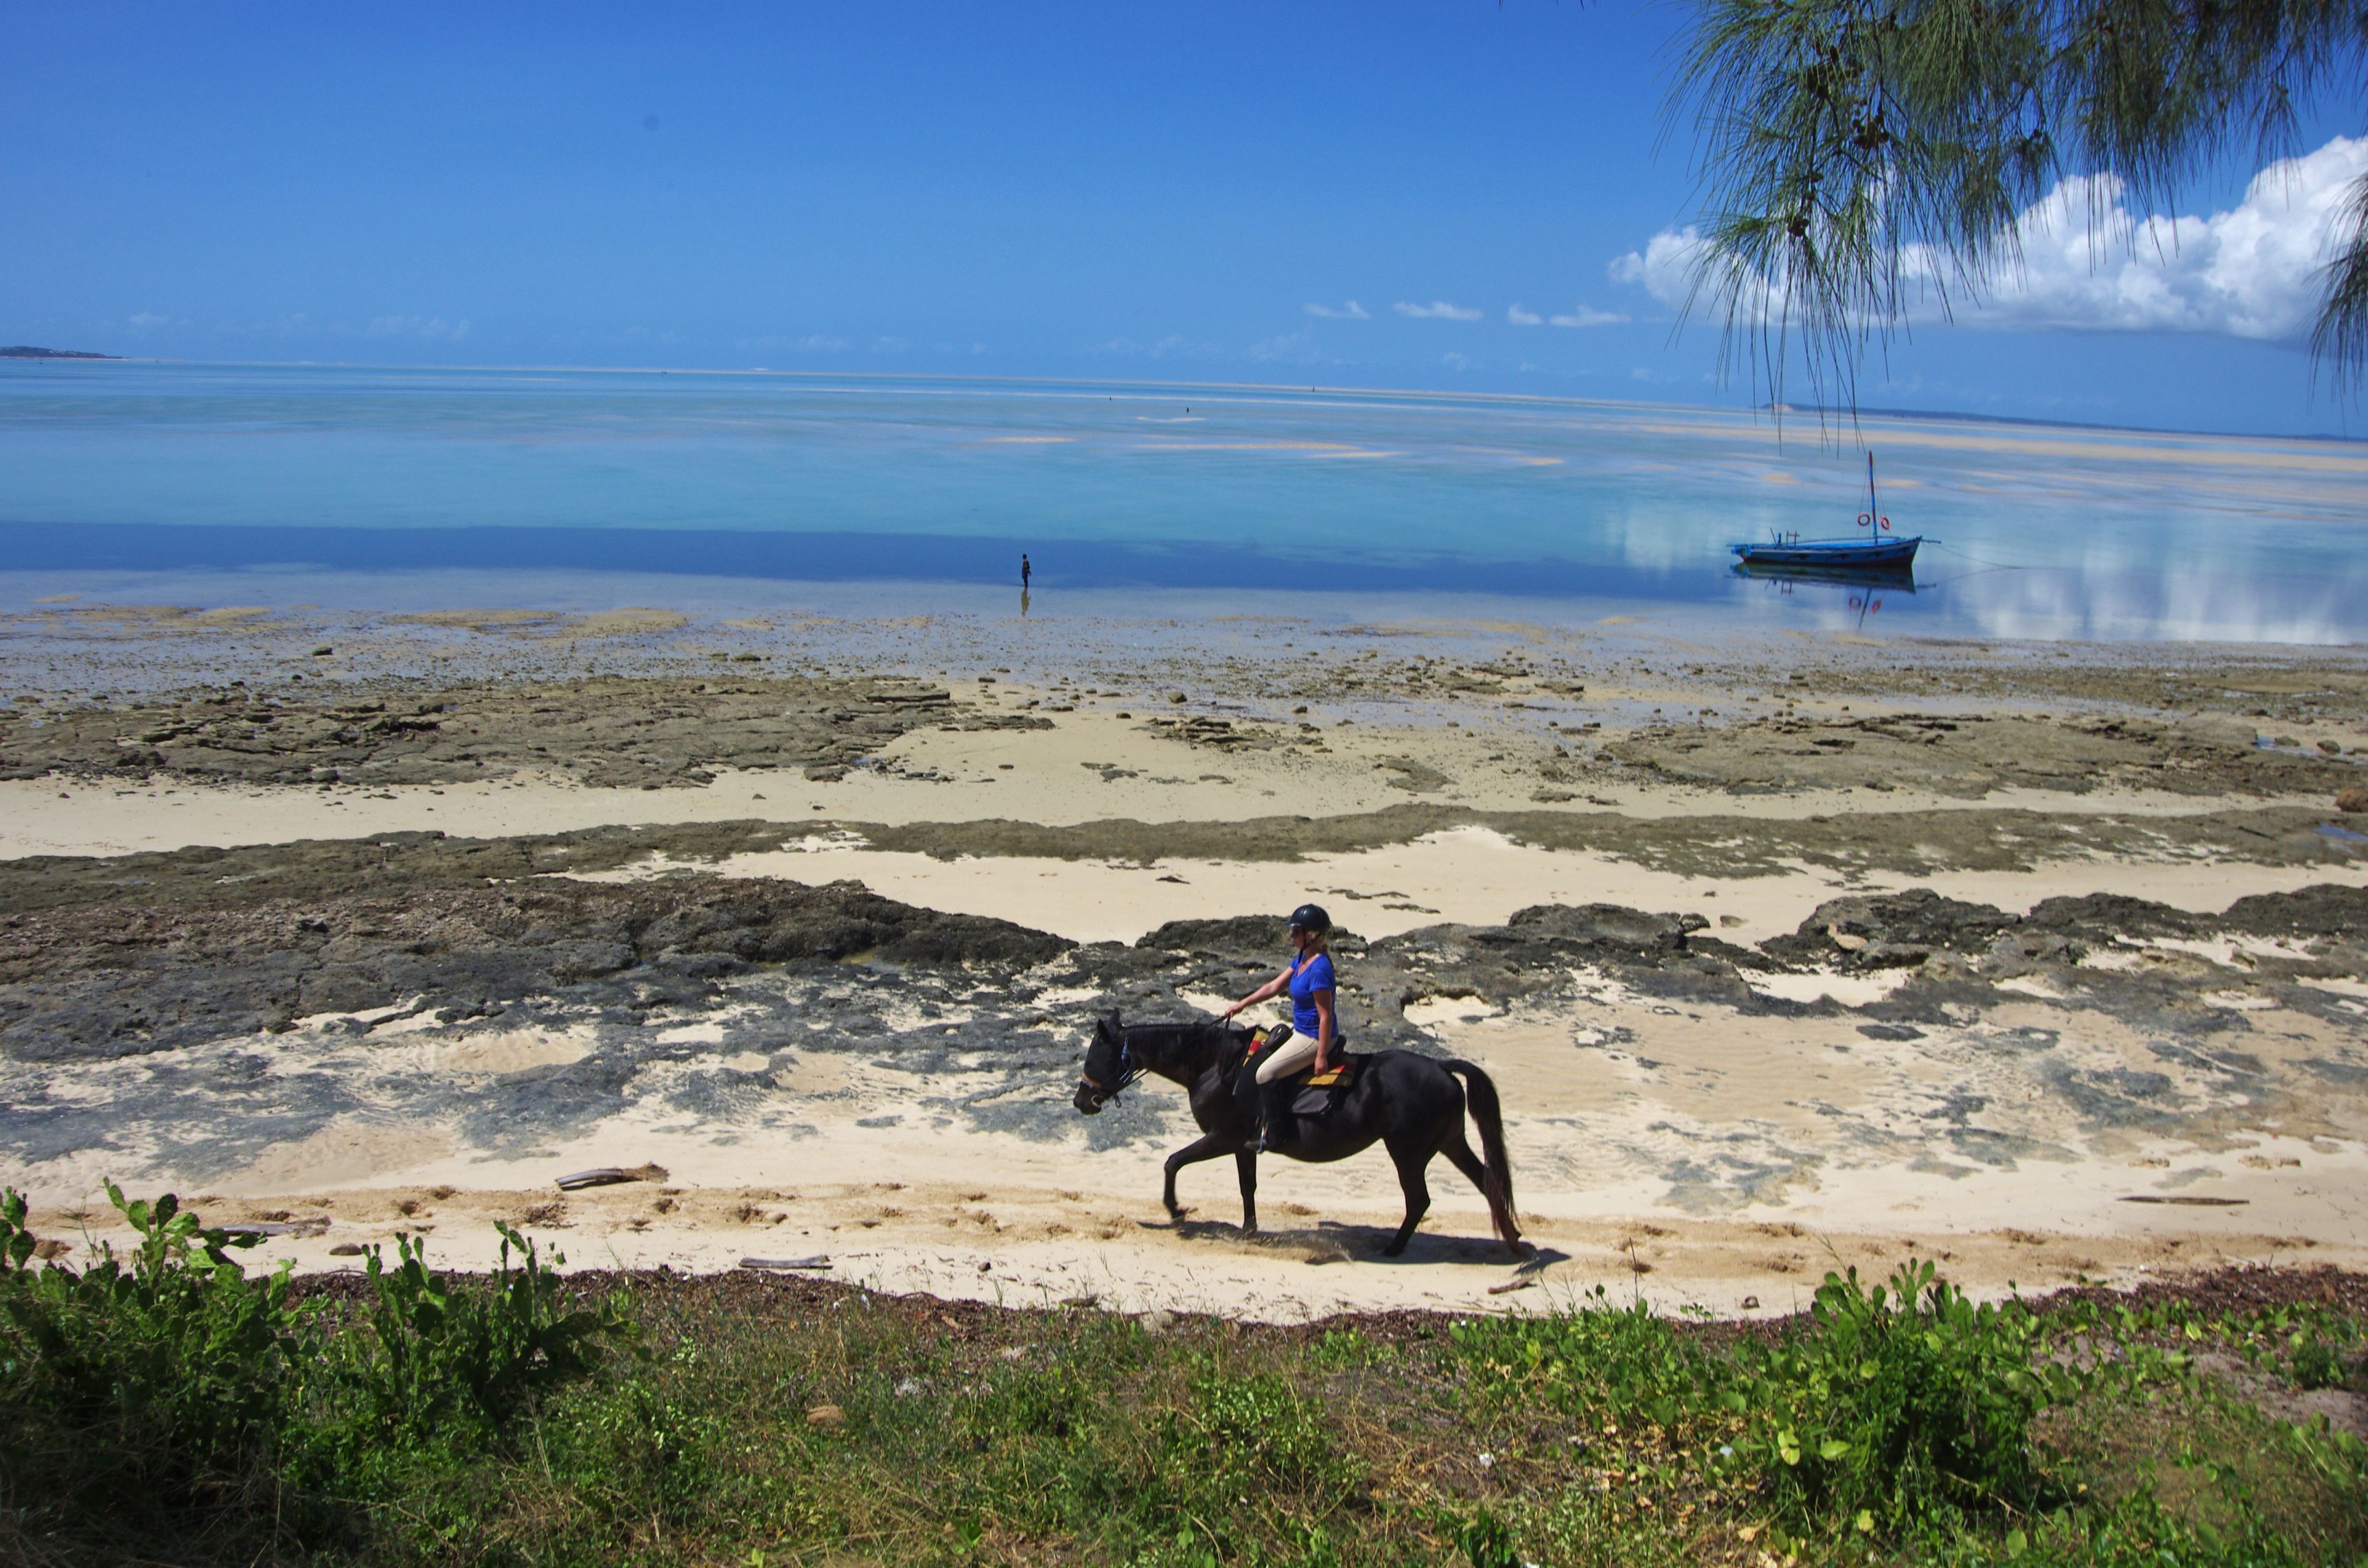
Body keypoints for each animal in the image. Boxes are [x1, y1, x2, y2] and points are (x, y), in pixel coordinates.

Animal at [1070, 1018, 1525, 1269]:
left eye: (1095, 1057)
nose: (1080, 1101)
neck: (1214, 1066)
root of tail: (1442, 1068)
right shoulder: (1242, 1145)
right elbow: (1247, 1187)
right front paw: (1250, 1231)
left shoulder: (1222, 1137)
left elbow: (1172, 1162)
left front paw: (1175, 1209)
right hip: (1449, 1141)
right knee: (1488, 1182)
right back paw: (1512, 1241)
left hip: (1407, 1152)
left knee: (1420, 1200)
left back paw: (1395, 1247)